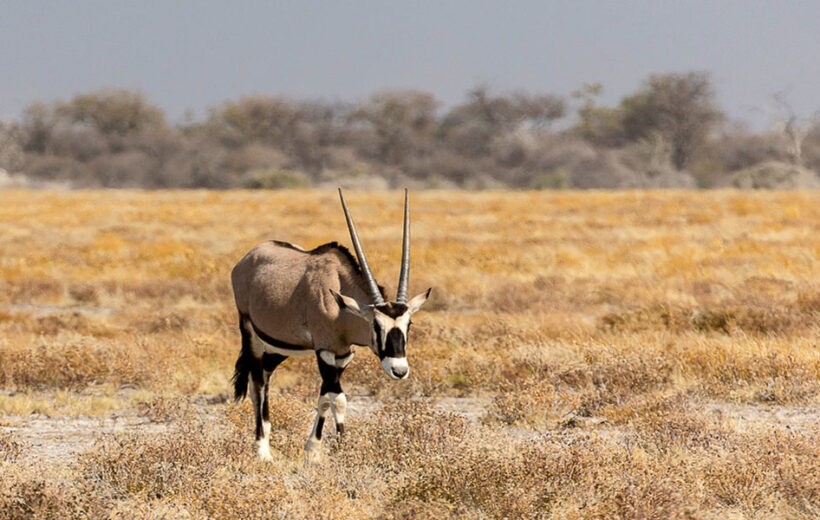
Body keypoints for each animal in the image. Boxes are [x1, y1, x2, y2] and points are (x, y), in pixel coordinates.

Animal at [231, 189, 430, 462]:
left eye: (408, 324)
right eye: (376, 325)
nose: (399, 370)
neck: (340, 304)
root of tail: (246, 260)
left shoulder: (343, 354)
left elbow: (332, 397)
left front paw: (337, 447)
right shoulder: (324, 351)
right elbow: (332, 398)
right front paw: (316, 451)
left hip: (277, 347)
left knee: (266, 377)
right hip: (251, 334)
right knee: (257, 383)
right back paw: (262, 450)